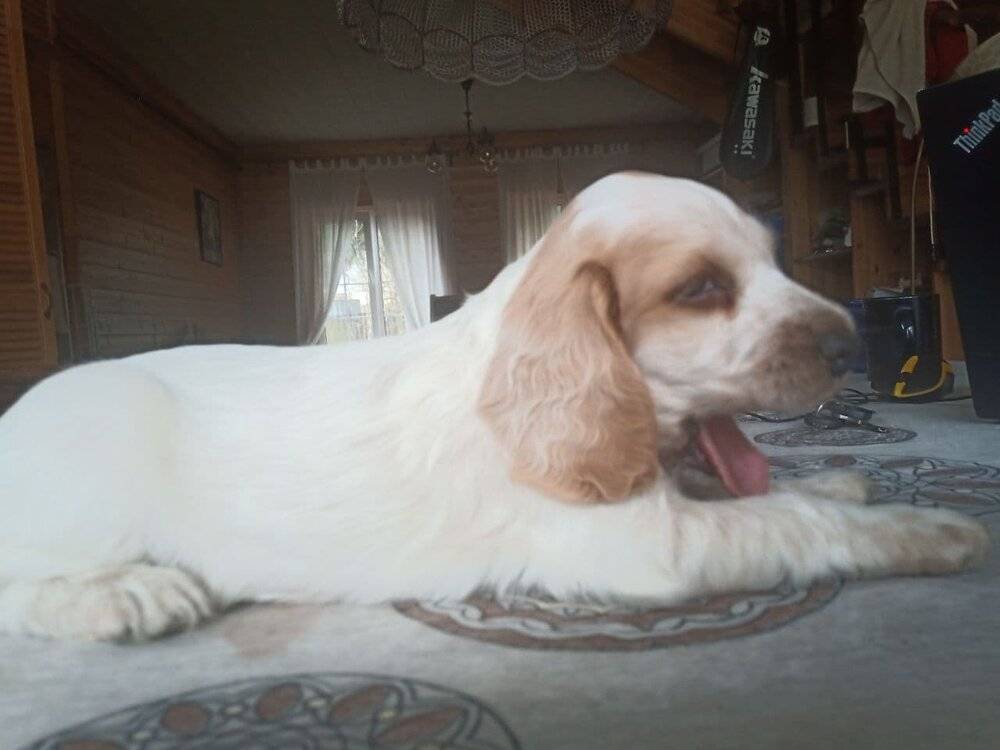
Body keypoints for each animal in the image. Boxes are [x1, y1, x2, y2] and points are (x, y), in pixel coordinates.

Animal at [0, 172, 988, 641]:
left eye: (774, 263)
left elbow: (773, 492)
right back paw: (128, 593)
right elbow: (789, 520)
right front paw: (925, 529)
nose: (852, 344)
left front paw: (843, 482)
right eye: (701, 289)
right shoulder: (644, 545)